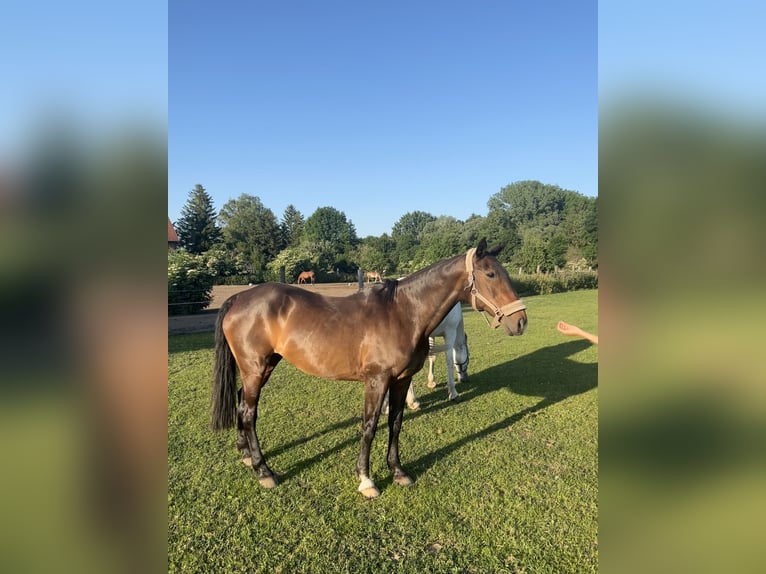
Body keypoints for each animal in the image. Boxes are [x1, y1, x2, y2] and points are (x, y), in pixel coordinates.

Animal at [213, 238, 532, 500]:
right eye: (490, 274)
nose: (520, 322)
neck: (403, 313)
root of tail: (238, 298)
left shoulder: (401, 380)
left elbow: (396, 423)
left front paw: (398, 471)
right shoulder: (376, 381)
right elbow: (369, 427)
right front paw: (366, 480)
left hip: (263, 367)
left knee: (241, 402)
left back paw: (246, 455)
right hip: (255, 368)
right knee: (249, 412)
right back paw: (264, 471)